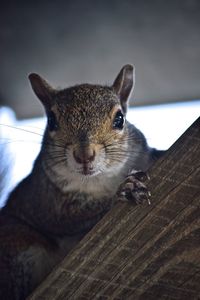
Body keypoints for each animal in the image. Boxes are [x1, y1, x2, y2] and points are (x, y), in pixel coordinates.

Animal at [0, 64, 164, 298]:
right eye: (51, 120)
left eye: (120, 119)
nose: (84, 155)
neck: (100, 180)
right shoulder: (47, 201)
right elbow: (75, 216)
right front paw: (125, 191)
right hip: (16, 243)